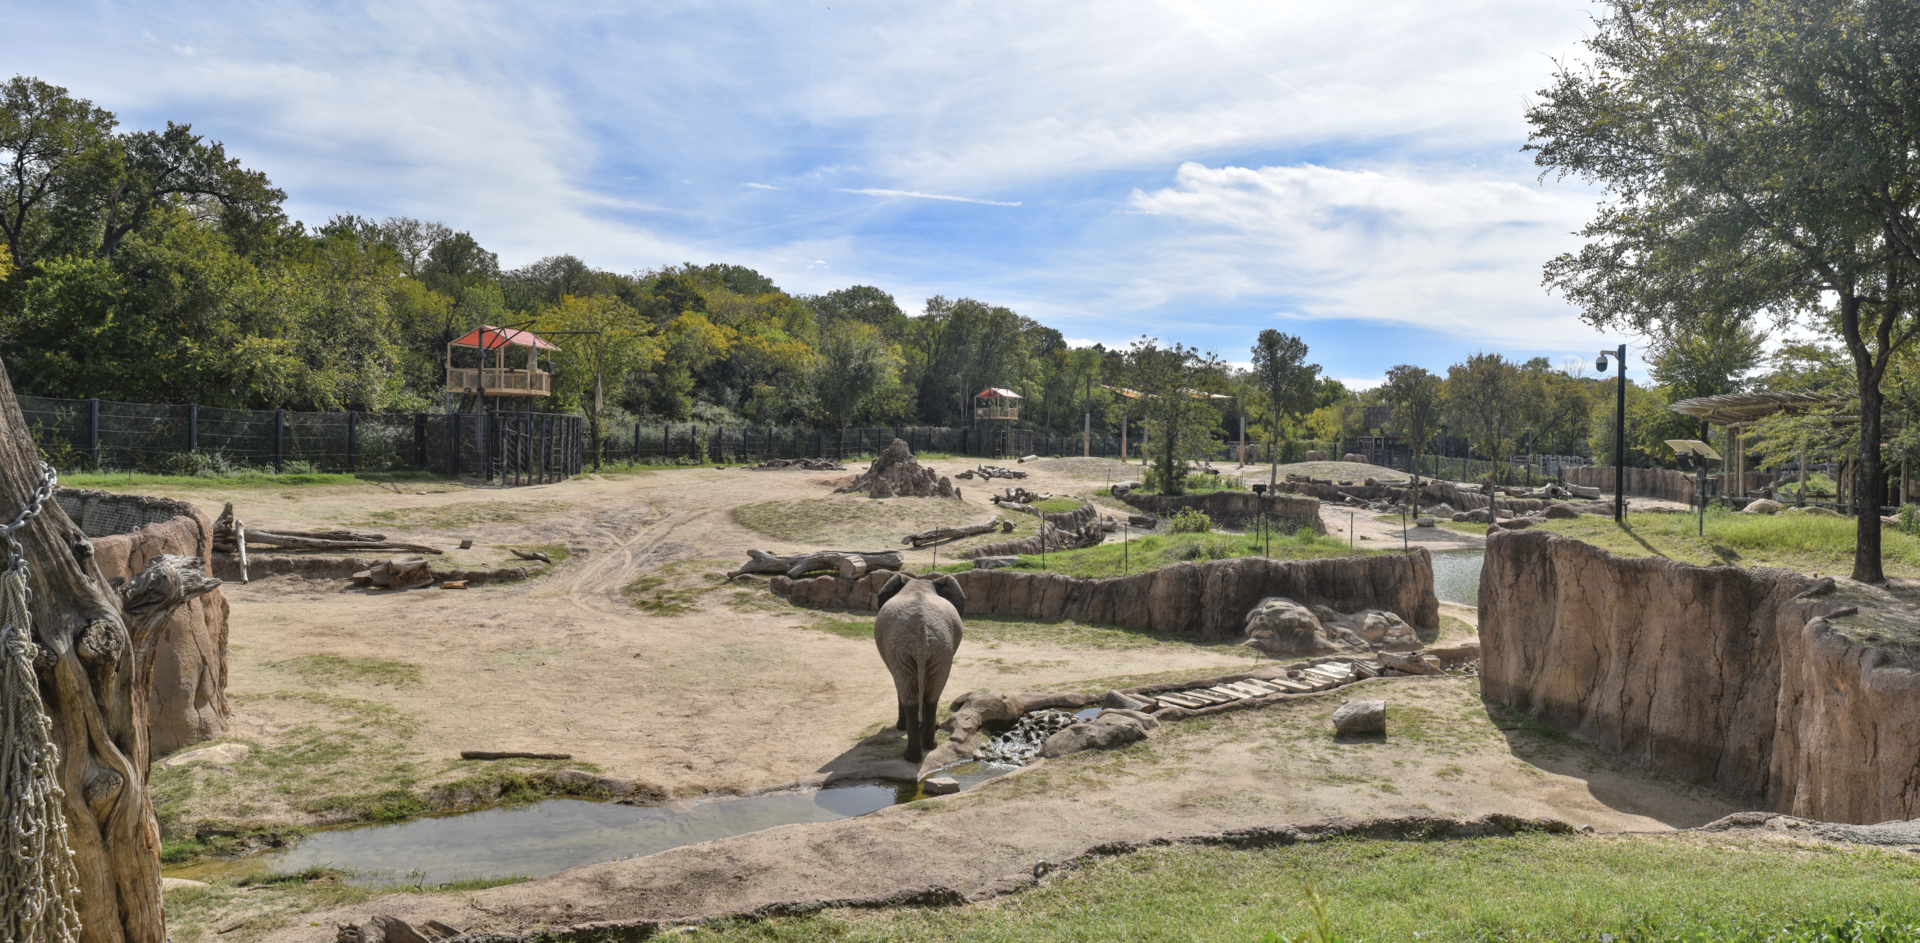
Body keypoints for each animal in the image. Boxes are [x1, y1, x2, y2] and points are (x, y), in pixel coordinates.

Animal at [873, 572, 967, 763]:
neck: (919, 583)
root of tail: (922, 636)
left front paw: (901, 728)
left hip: (901, 650)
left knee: (910, 693)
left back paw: (911, 756)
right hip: (940, 649)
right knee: (932, 694)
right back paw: (929, 745)